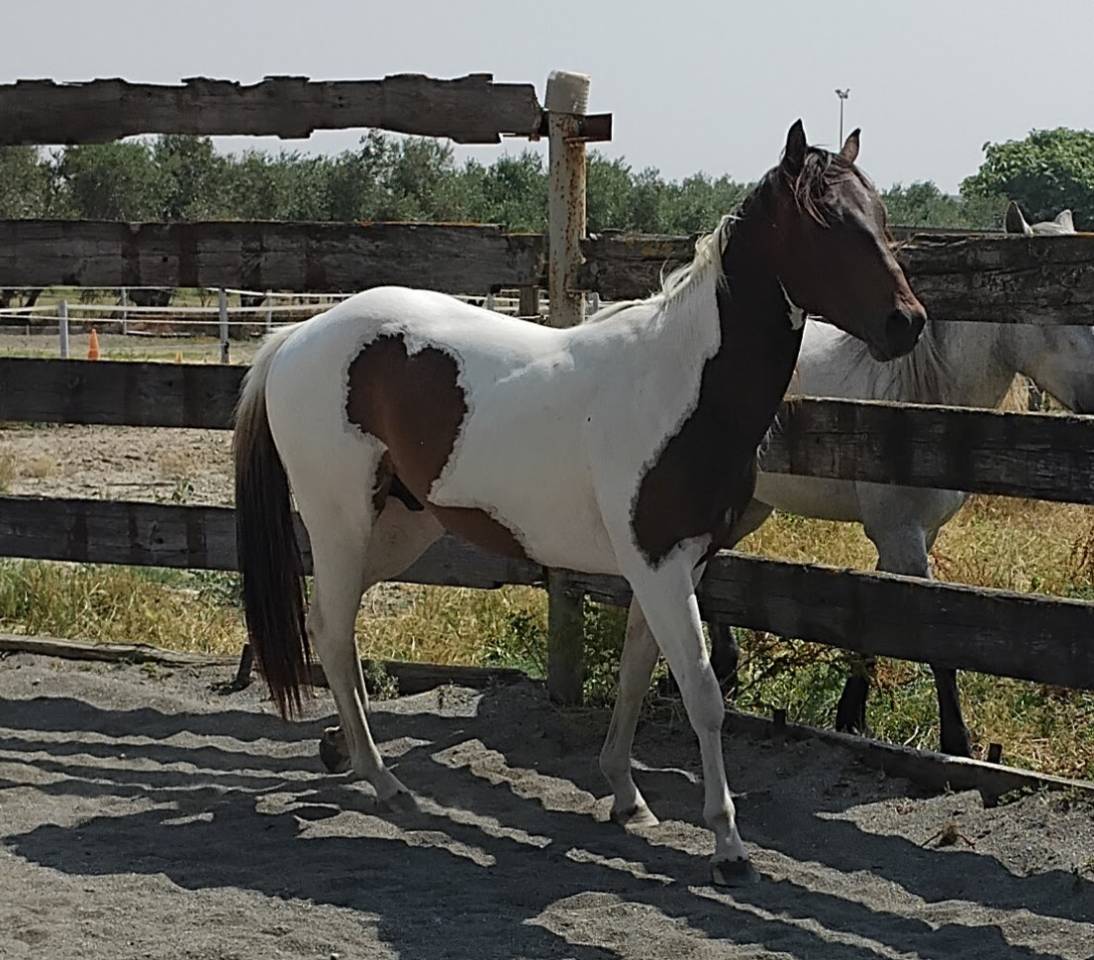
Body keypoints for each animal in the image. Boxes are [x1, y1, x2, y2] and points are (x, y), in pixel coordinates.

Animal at [233, 120, 926, 886]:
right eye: (825, 222)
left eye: (880, 218)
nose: (907, 323)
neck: (680, 389)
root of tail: (296, 337)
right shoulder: (657, 565)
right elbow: (702, 696)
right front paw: (727, 845)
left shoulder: (677, 566)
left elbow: (634, 677)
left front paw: (627, 798)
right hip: (341, 522)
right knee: (331, 628)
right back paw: (386, 783)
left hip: (397, 529)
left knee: (338, 626)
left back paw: (348, 754)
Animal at [703, 204, 1092, 758]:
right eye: (1062, 307)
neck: (921, 407)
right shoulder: (901, 537)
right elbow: (934, 638)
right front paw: (957, 742)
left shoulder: (911, 538)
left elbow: (877, 629)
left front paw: (850, 717)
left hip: (751, 503)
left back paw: (723, 672)